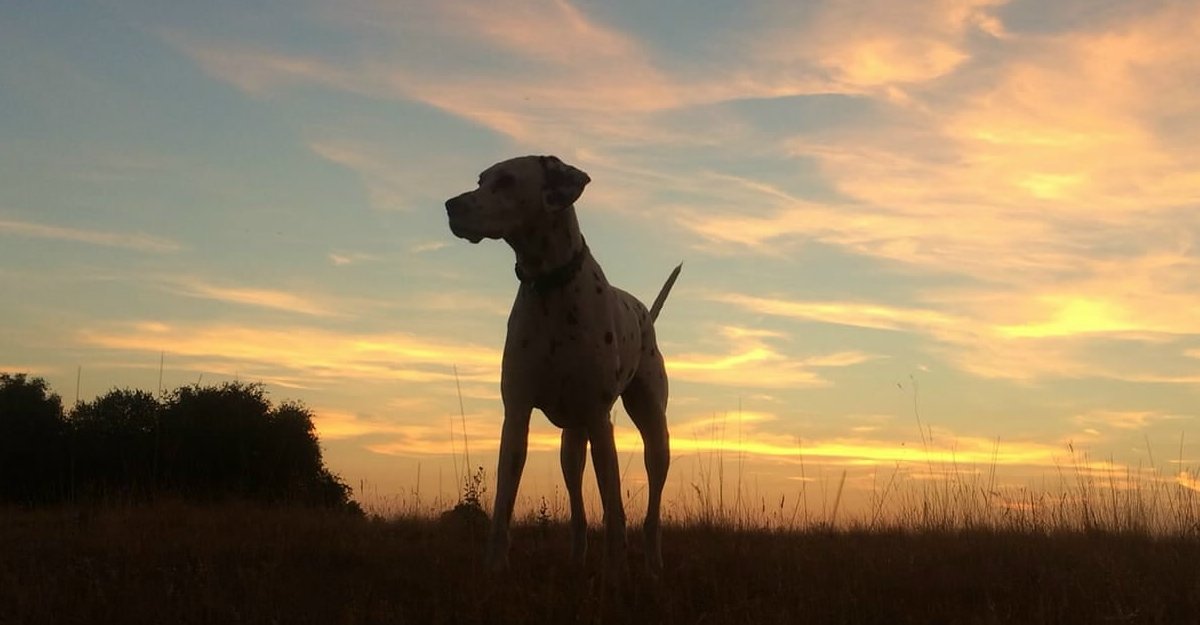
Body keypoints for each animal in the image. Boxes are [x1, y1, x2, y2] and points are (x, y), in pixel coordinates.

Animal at [446, 153, 681, 573]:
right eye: (481, 180)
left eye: (507, 180)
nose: (451, 206)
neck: (550, 288)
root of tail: (644, 314)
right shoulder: (516, 415)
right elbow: (503, 503)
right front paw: (494, 566)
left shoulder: (600, 421)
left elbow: (614, 508)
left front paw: (615, 571)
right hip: (570, 445)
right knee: (577, 506)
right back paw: (575, 559)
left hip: (653, 431)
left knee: (652, 504)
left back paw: (653, 564)